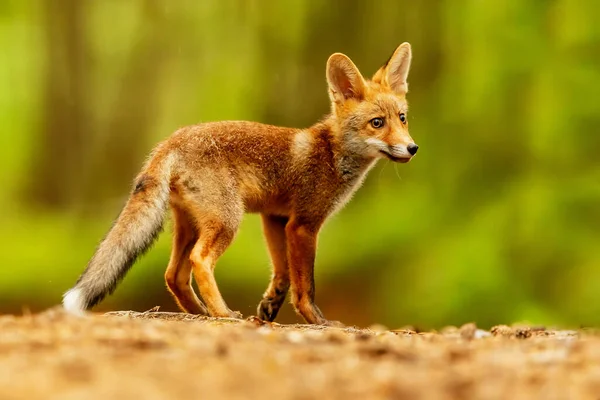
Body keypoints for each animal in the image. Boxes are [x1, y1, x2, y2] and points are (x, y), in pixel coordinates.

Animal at [61, 43, 418, 324]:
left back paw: (200, 312)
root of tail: (171, 140)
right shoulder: (303, 224)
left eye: (402, 118)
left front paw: (270, 306)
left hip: (190, 225)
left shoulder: (275, 218)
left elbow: (282, 273)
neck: (332, 153)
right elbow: (305, 285)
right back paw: (221, 313)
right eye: (377, 123)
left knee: (173, 274)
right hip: (226, 220)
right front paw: (318, 320)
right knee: (199, 262)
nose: (412, 148)